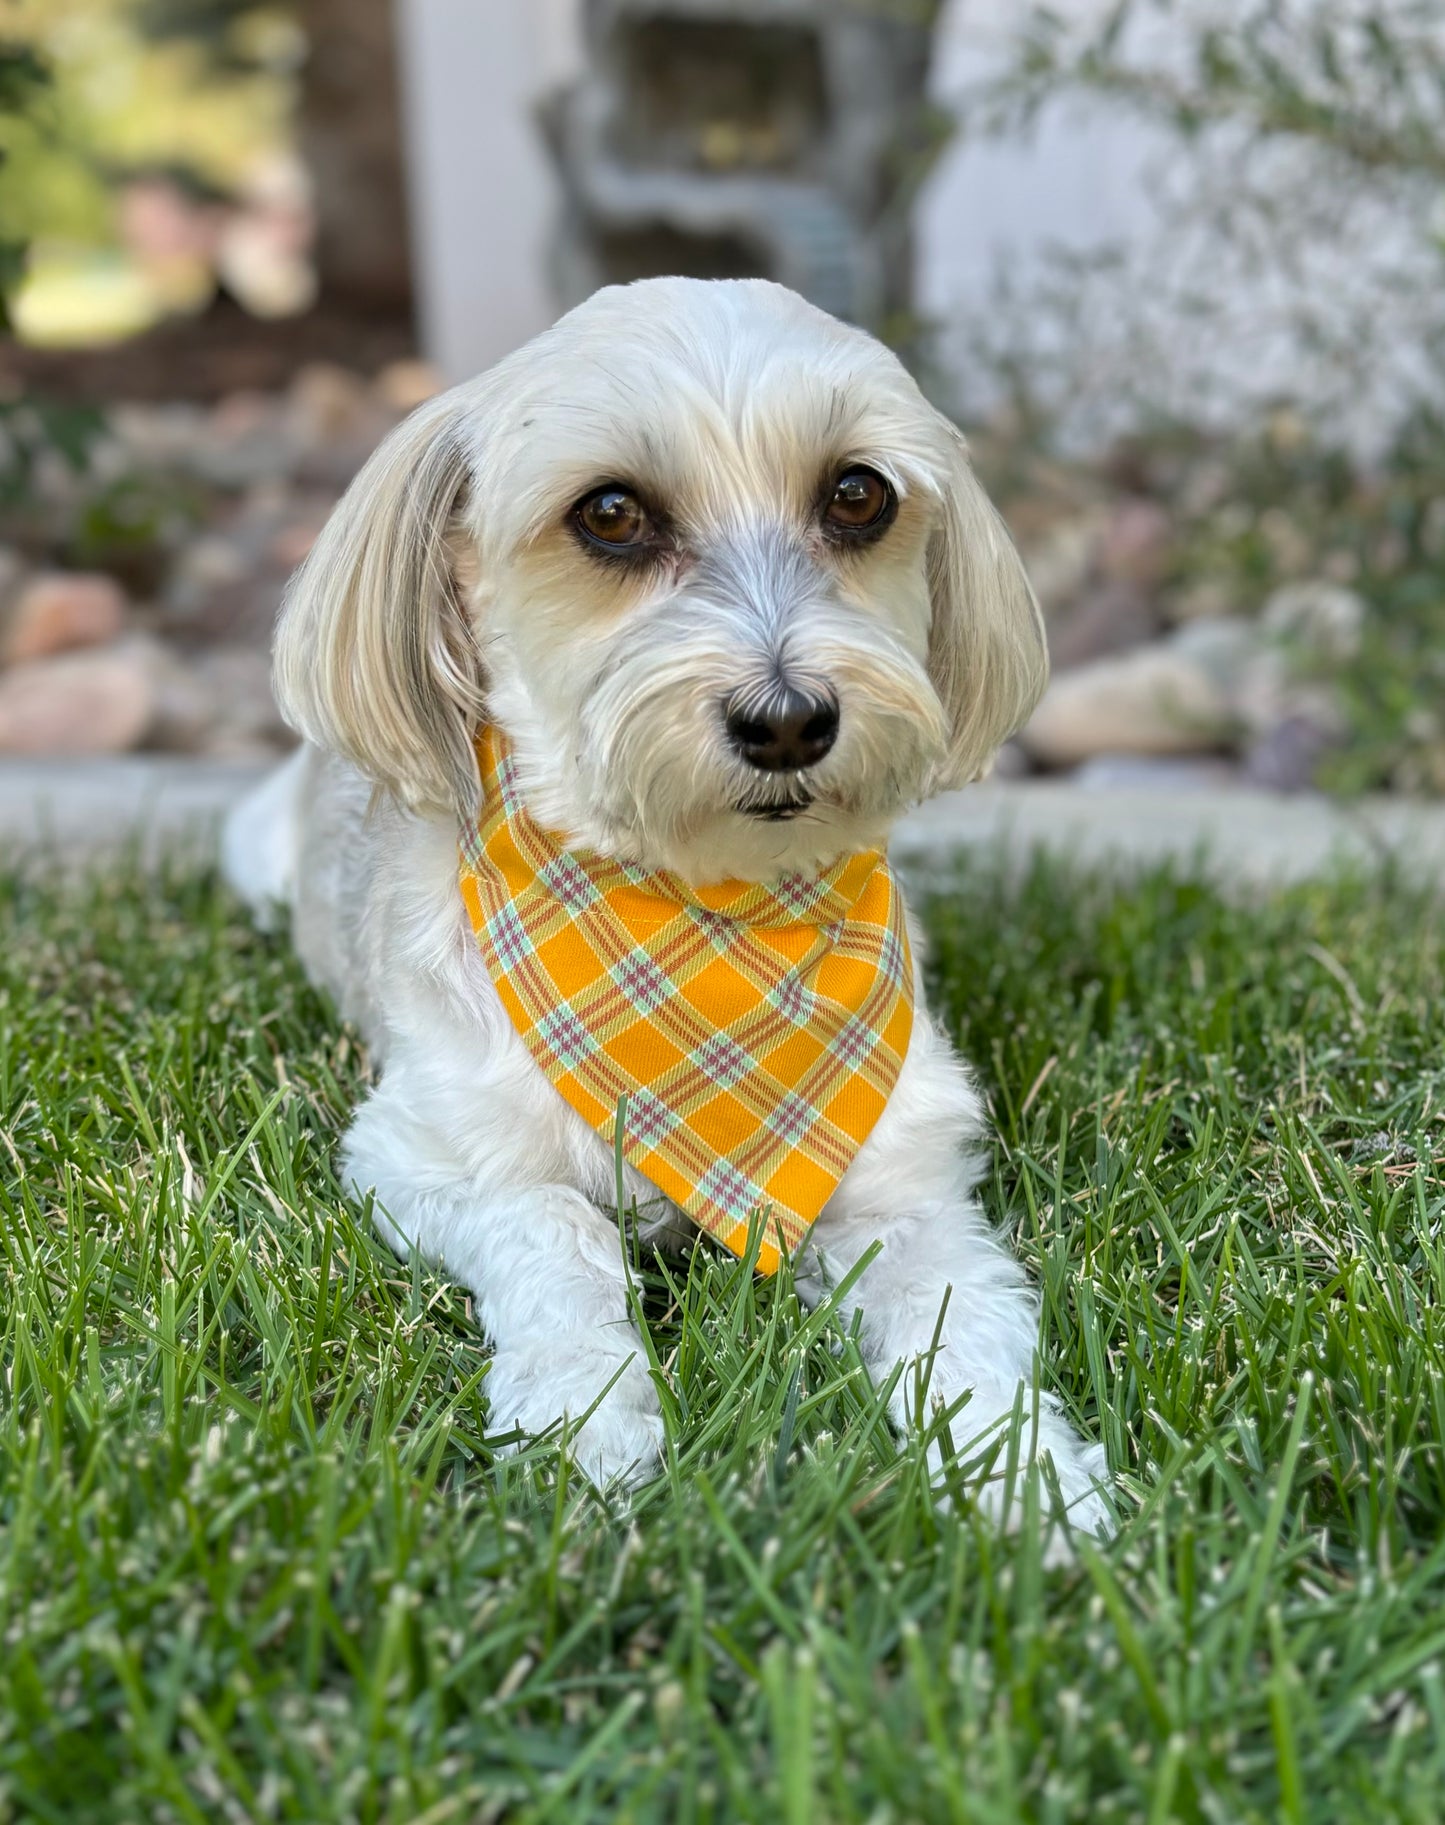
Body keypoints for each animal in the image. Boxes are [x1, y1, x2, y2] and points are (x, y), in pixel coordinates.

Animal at [222, 277, 1109, 1533]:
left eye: (857, 494)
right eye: (609, 513)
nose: (787, 719)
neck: (706, 911)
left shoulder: (904, 1185)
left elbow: (964, 1319)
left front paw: (1025, 1476)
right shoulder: (426, 1160)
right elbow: (552, 1230)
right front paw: (582, 1421)